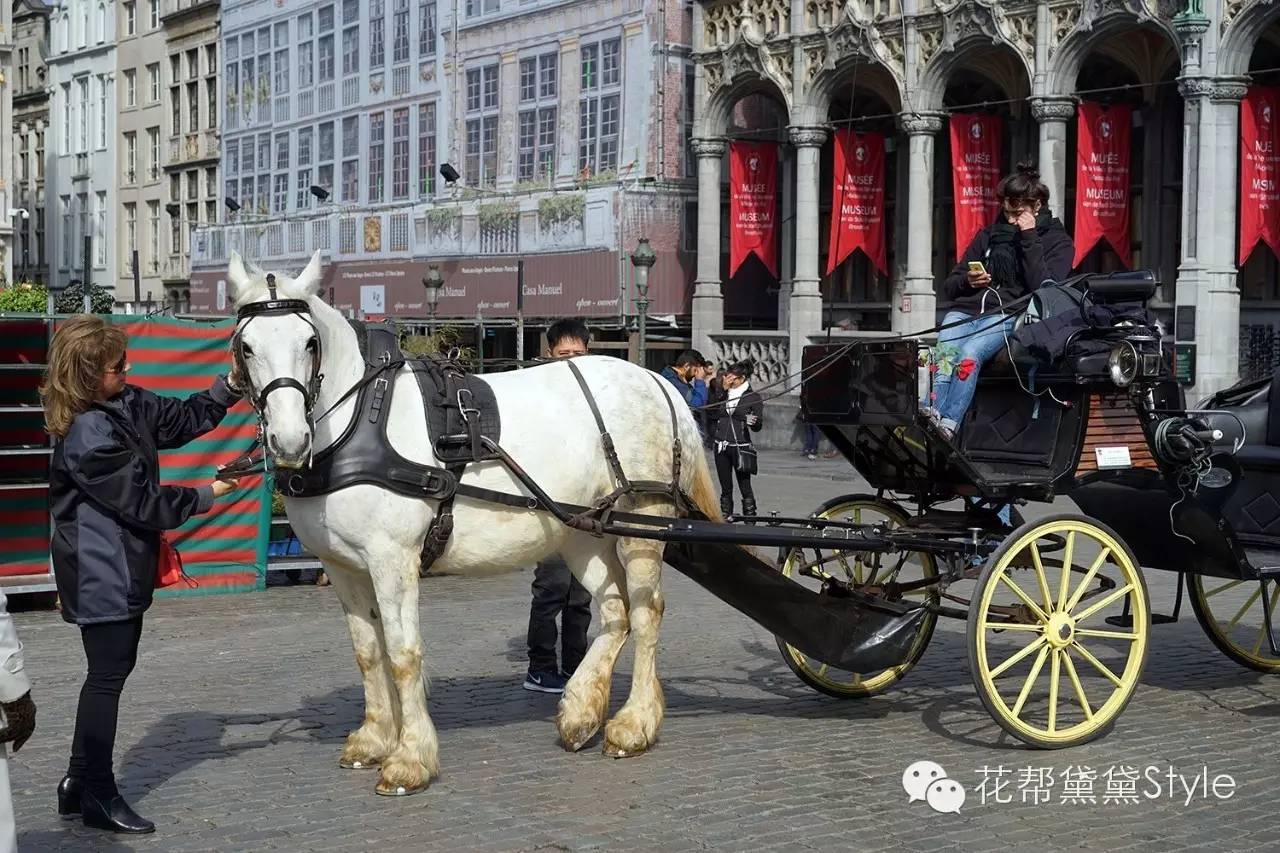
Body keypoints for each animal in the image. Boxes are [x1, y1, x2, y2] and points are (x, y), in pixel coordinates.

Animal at [223, 250, 722, 795]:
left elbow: (402, 653)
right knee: (615, 611)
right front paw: (373, 739)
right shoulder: (342, 567)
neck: (357, 420)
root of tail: (658, 383)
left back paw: (634, 724)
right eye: (246, 346)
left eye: (309, 343)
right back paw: (580, 712)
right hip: (583, 530)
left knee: (647, 611)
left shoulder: (392, 559)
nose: (290, 441)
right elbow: (368, 652)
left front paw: (409, 758)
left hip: (642, 524)